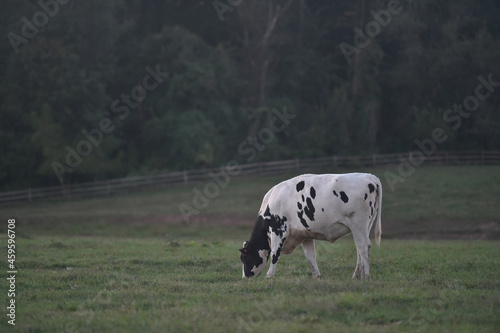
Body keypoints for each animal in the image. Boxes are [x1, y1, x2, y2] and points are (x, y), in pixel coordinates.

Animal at [239, 172, 382, 278]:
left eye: (244, 257)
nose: (245, 277)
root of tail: (369, 176)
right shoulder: (304, 235)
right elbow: (310, 256)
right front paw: (316, 276)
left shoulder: (278, 229)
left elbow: (275, 253)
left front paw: (269, 276)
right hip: (365, 226)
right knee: (360, 249)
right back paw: (356, 275)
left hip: (358, 225)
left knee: (364, 247)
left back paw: (365, 276)